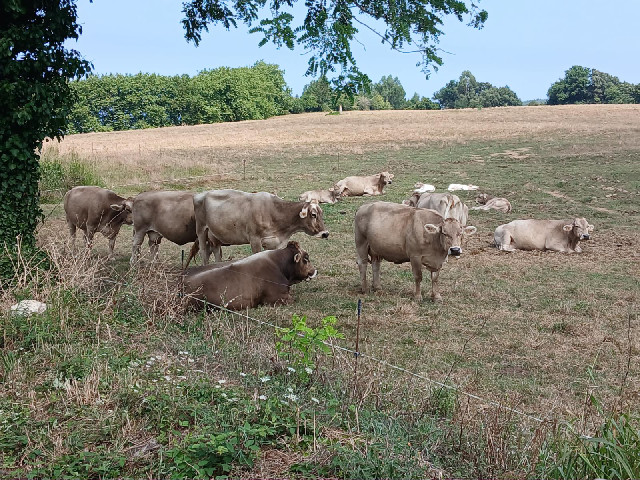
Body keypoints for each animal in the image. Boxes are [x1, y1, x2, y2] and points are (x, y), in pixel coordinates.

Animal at [193, 189, 329, 264]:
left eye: (322, 213)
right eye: (313, 214)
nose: (325, 233)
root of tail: (200, 194)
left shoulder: (276, 243)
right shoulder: (254, 239)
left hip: (214, 236)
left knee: (216, 251)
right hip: (201, 229)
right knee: (204, 252)